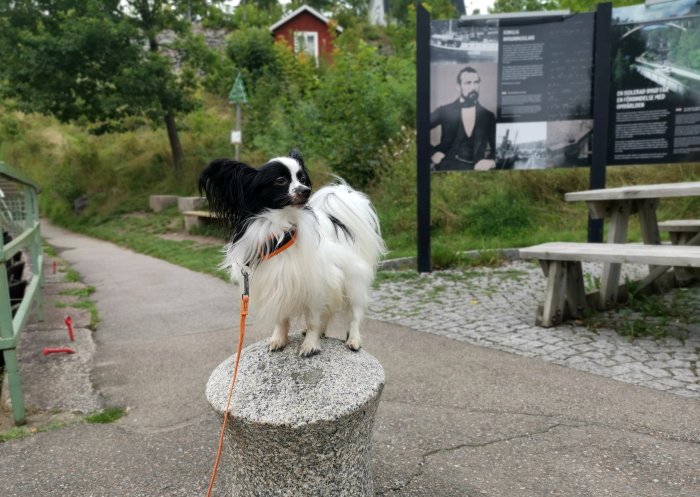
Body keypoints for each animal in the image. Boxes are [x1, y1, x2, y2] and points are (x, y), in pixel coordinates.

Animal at [198, 149, 388, 354]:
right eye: (280, 180)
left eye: (302, 179)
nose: (306, 190)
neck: (281, 227)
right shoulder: (277, 282)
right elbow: (281, 318)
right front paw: (278, 339)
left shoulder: (314, 281)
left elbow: (313, 319)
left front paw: (310, 345)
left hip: (352, 280)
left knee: (354, 313)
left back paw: (353, 339)